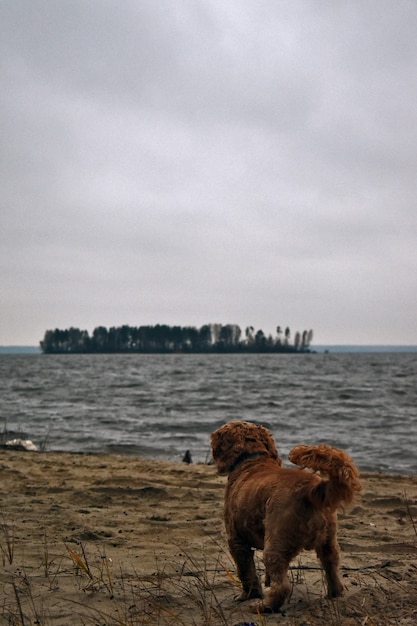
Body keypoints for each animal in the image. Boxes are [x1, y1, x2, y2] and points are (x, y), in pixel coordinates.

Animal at [211, 416, 360, 612]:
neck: (251, 460)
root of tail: (310, 489)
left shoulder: (236, 540)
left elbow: (247, 572)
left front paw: (247, 596)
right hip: (328, 542)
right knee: (332, 569)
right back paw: (333, 594)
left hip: (275, 543)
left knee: (282, 586)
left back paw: (263, 606)